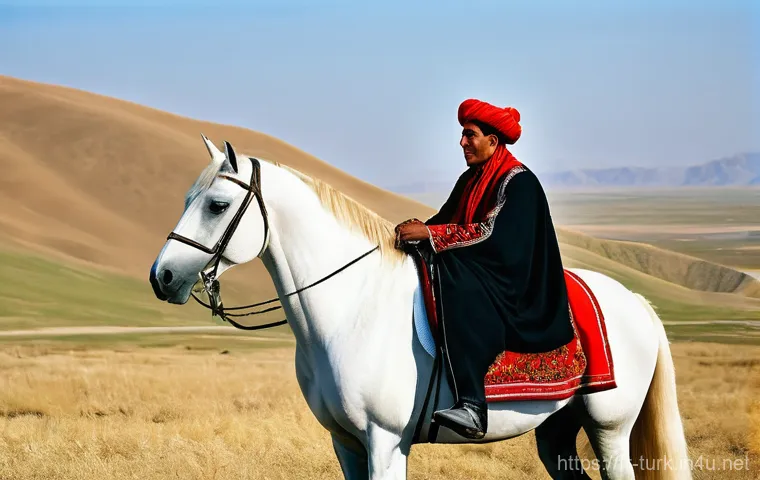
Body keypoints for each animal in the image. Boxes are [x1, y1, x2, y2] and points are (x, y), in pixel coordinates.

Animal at [149, 136, 691, 480]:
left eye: (217, 205)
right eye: (187, 198)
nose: (162, 276)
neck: (351, 310)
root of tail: (636, 302)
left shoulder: (385, 442)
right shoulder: (347, 444)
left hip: (610, 428)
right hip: (557, 431)